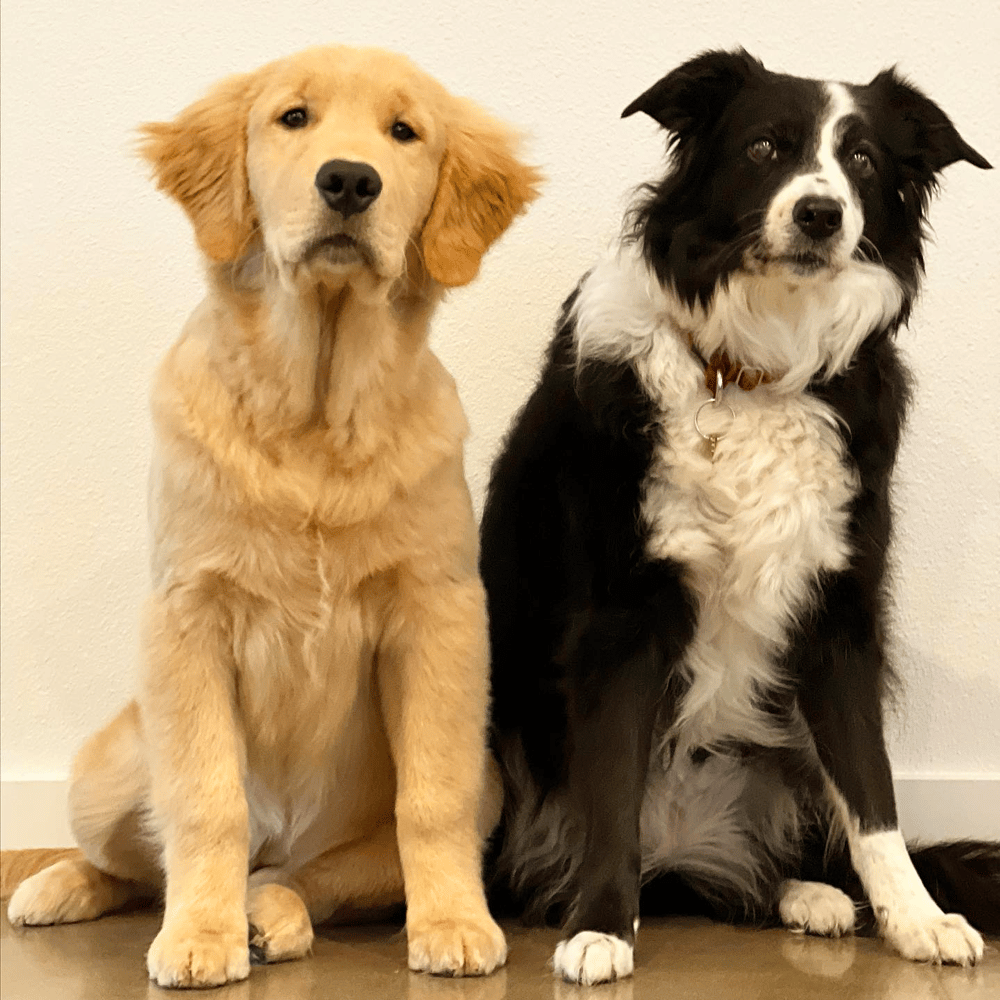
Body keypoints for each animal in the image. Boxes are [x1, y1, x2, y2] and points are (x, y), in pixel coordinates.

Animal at [1, 45, 540, 984]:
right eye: (293, 118)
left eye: (405, 132)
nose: (350, 181)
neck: (315, 409)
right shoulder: (185, 616)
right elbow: (203, 801)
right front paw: (198, 936)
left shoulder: (438, 615)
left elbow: (429, 799)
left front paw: (454, 922)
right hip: (101, 770)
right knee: (139, 863)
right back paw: (61, 885)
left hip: (486, 788)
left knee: (297, 874)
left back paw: (270, 915)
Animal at [480, 48, 996, 984]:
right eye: (763, 147)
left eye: (862, 159)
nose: (822, 213)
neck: (752, 371)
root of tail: (678, 858)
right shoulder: (622, 615)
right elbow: (611, 785)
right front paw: (601, 928)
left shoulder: (839, 616)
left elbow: (873, 795)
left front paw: (917, 919)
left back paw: (814, 895)